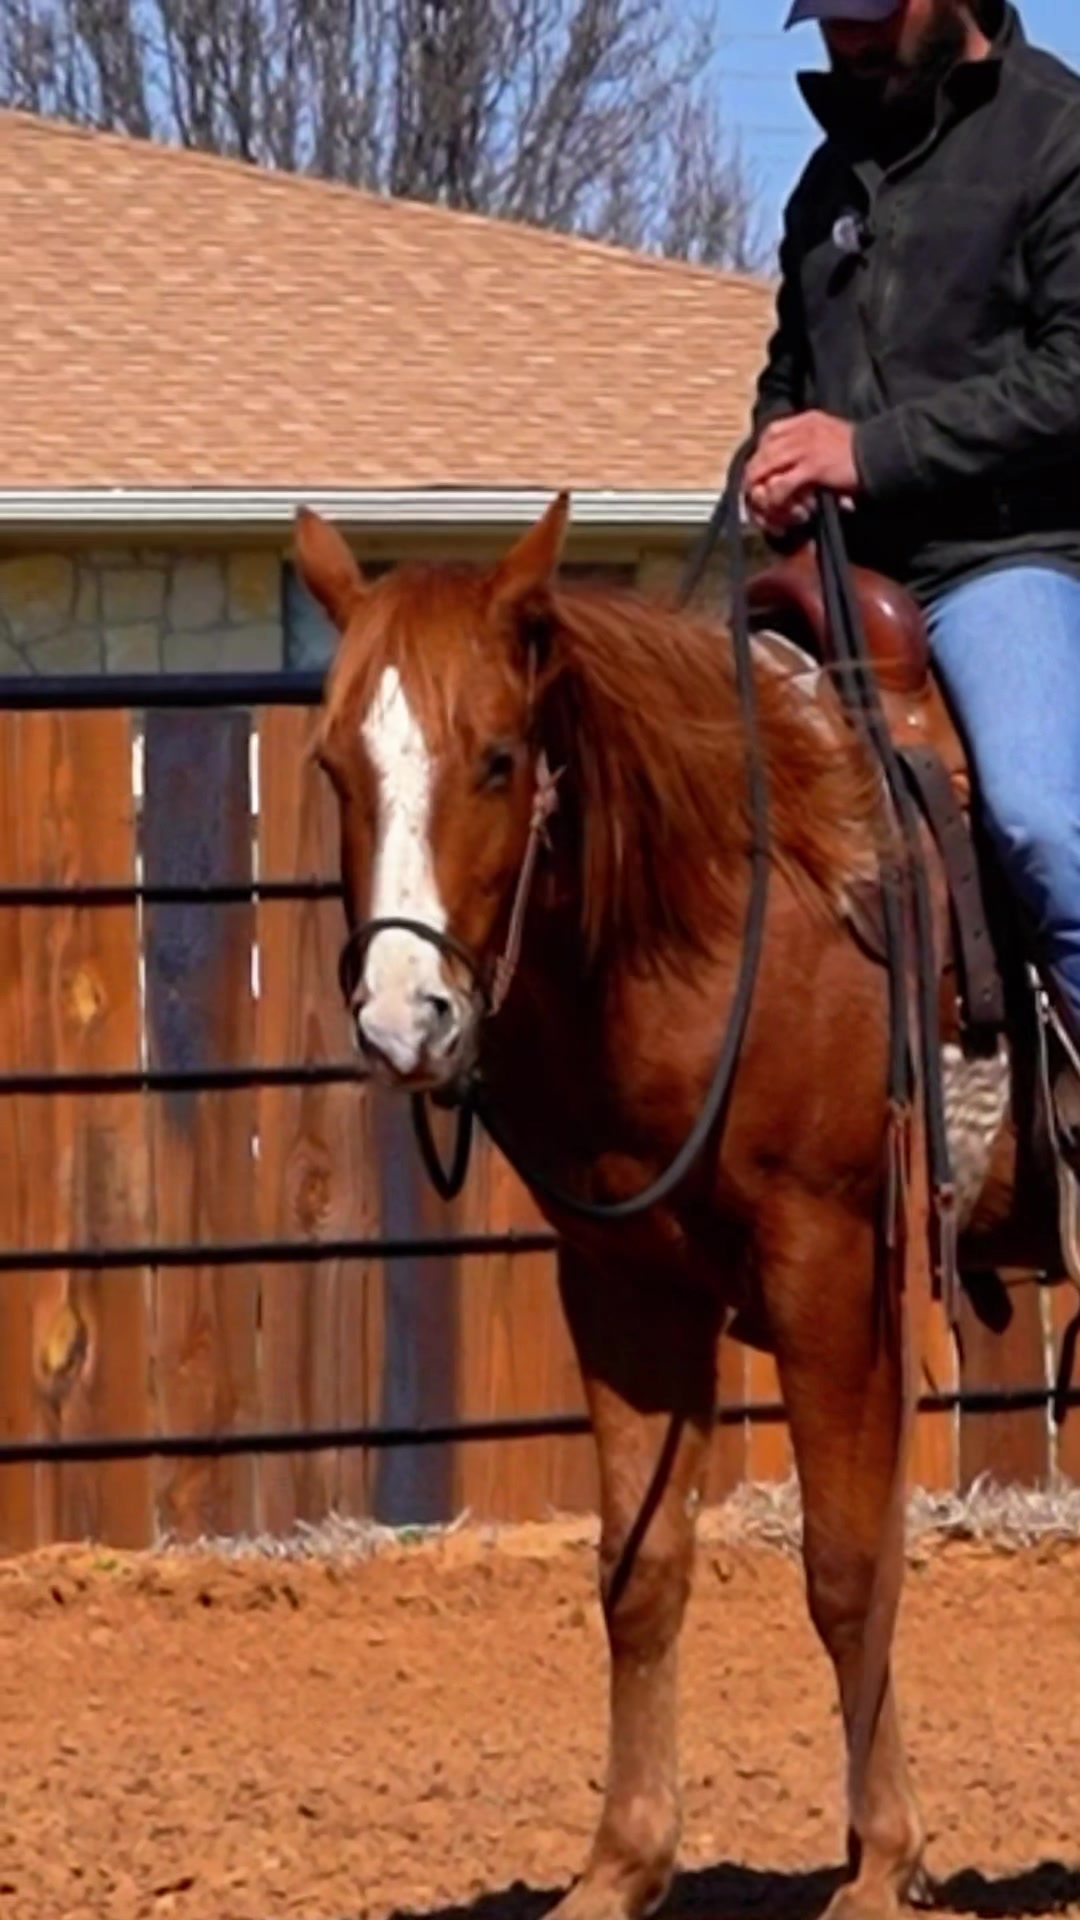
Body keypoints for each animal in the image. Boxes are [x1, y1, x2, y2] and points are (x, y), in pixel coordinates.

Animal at [291, 493, 1065, 1920]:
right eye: (332, 767)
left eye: (499, 758)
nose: (403, 1020)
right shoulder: (623, 1284)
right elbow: (639, 1572)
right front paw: (623, 1862)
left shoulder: (833, 1268)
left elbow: (849, 1567)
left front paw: (882, 1864)